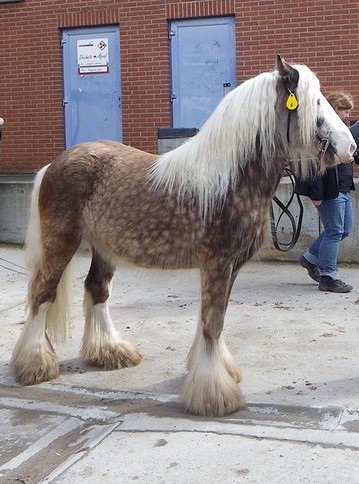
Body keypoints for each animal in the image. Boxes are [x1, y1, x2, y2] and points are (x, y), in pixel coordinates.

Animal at [9, 55, 356, 416]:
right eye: (316, 103)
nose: (350, 148)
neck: (230, 178)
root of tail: (53, 165)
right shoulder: (217, 263)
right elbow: (212, 322)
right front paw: (214, 393)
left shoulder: (230, 267)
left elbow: (215, 319)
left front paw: (216, 372)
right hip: (61, 243)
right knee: (42, 294)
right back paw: (35, 365)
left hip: (105, 248)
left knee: (96, 289)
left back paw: (110, 352)